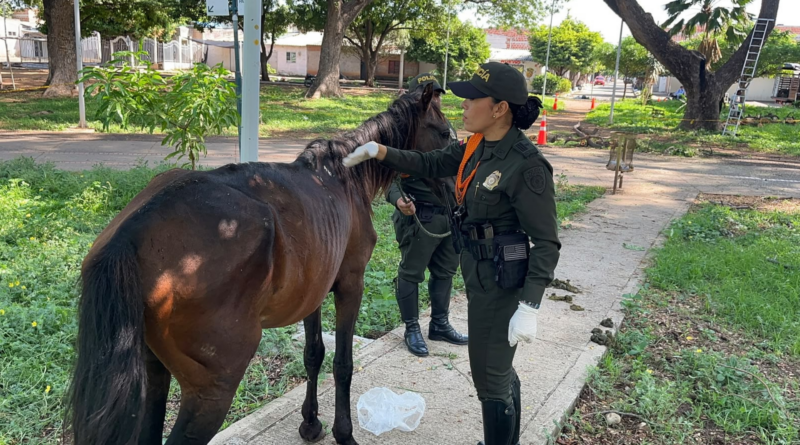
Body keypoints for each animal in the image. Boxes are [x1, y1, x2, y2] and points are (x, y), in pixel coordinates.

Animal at [65, 84, 451, 445]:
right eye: (446, 133)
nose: (451, 191)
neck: (344, 176)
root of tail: (133, 231)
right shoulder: (350, 284)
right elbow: (342, 364)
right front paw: (343, 432)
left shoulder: (313, 291)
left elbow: (314, 354)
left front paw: (310, 423)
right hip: (212, 389)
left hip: (153, 370)